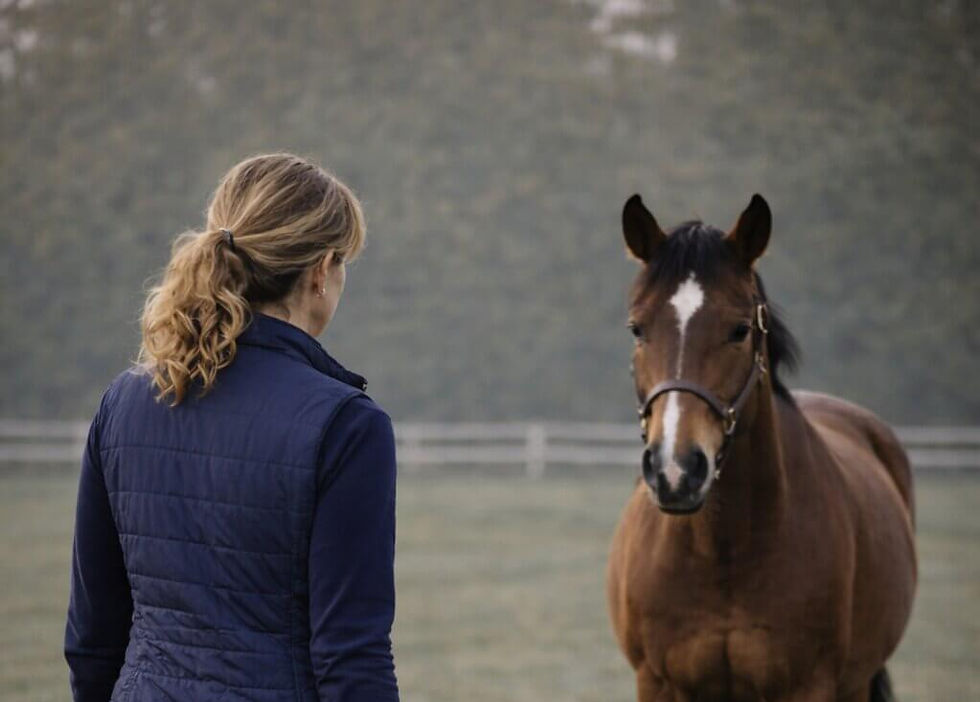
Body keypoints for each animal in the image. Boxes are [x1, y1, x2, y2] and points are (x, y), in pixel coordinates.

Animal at [605, 194, 917, 702]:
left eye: (739, 329)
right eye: (636, 328)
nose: (676, 472)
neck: (724, 552)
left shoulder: (809, 686)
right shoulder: (658, 683)